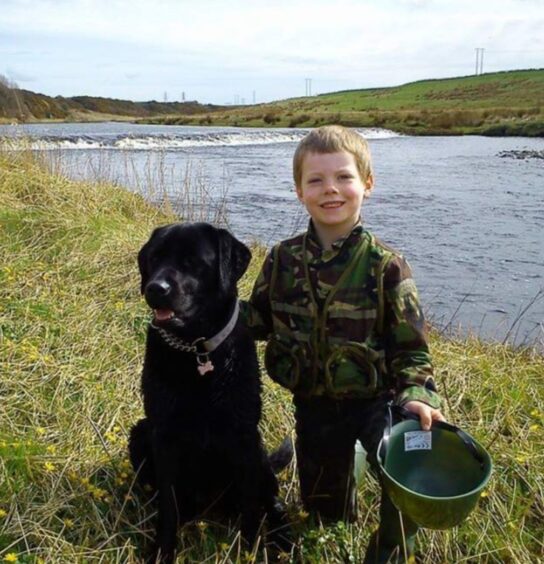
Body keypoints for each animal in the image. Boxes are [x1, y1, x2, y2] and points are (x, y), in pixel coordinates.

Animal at [129, 223, 288, 560]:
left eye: (192, 261)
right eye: (154, 257)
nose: (155, 288)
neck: (197, 352)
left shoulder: (243, 436)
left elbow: (251, 509)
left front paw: (250, 550)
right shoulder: (163, 434)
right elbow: (169, 507)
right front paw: (162, 551)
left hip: (259, 453)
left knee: (271, 501)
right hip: (139, 432)